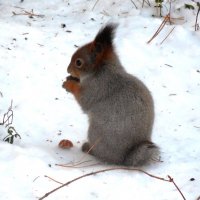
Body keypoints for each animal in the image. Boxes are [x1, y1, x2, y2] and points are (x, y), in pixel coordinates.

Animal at [62, 23, 159, 166]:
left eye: (78, 62)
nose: (68, 70)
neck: (101, 69)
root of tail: (122, 159)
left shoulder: (97, 87)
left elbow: (84, 100)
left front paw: (69, 84)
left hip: (96, 133)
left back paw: (88, 149)